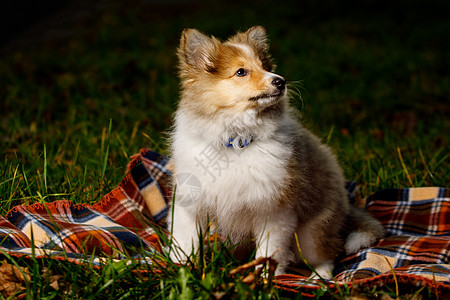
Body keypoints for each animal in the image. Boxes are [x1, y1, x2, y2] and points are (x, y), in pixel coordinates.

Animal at [169, 27, 384, 278]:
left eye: (265, 66)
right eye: (241, 72)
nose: (281, 81)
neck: (235, 142)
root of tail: (348, 207)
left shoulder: (274, 211)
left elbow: (268, 253)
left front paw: (264, 281)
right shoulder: (190, 203)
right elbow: (186, 243)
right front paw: (180, 271)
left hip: (310, 235)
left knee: (329, 253)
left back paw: (318, 277)